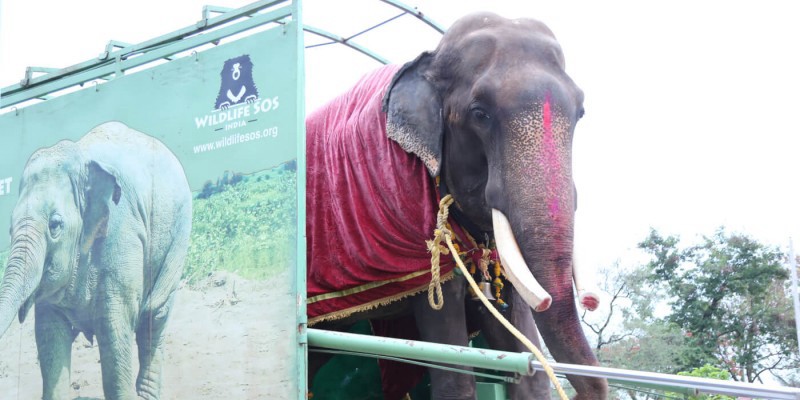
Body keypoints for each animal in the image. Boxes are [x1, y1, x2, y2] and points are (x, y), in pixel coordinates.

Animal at [0, 121, 192, 400]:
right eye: (9, 229)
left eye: (55, 225)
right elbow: (49, 337)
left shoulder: (122, 234)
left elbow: (114, 333)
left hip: (177, 240)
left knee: (154, 319)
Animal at [306, 11, 607, 400]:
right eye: (480, 113)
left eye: (581, 111)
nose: (591, 302)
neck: (428, 60)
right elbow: (452, 361)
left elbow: (522, 357)